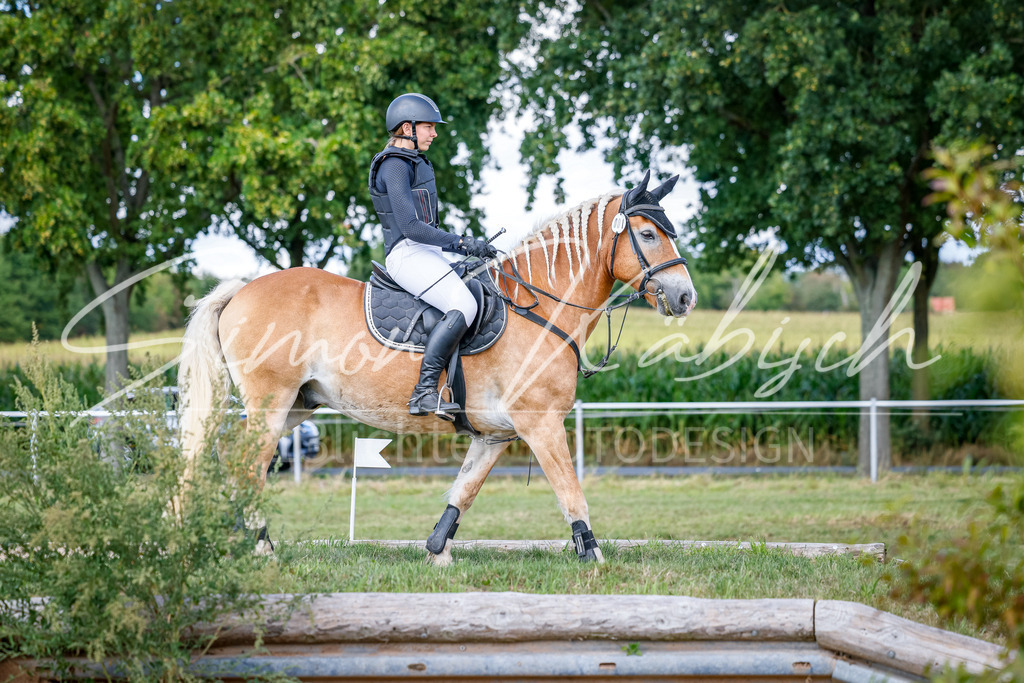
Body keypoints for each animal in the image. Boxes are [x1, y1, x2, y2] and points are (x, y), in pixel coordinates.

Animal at [177, 171, 697, 565]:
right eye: (648, 234)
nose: (686, 297)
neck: (541, 308)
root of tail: (241, 290)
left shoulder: (495, 435)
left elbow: (463, 491)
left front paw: (437, 552)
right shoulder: (542, 424)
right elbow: (570, 490)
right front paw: (592, 555)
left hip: (297, 405)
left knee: (232, 458)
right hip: (271, 401)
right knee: (249, 465)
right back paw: (260, 546)